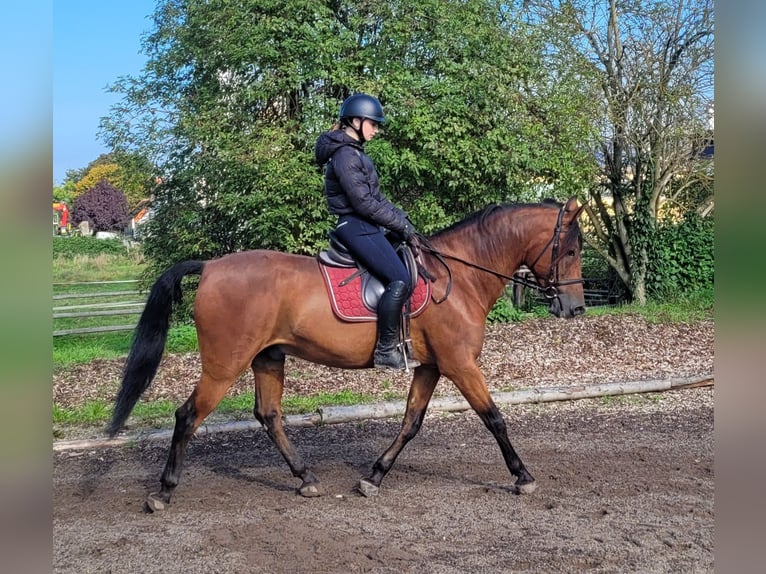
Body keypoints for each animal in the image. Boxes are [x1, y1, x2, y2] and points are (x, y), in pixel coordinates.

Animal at [108, 197, 586, 511]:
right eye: (570, 250)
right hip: (225, 365)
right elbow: (495, 418)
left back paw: (306, 479)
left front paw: (373, 477)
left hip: (268, 358)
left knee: (269, 416)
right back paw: (164, 491)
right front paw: (522, 476)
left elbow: (411, 423)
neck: (459, 276)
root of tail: (210, 267)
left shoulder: (432, 366)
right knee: (188, 416)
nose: (576, 308)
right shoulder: (460, 365)